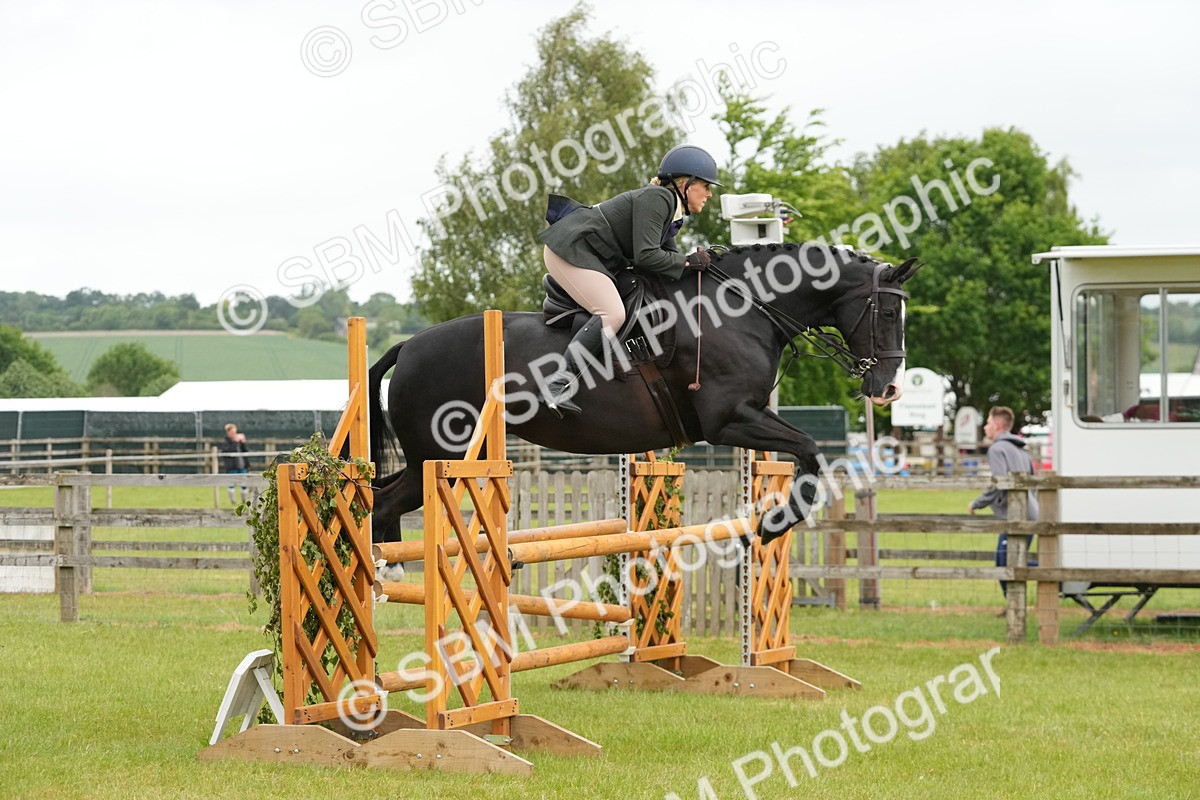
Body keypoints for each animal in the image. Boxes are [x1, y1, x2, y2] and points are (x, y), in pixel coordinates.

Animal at [368, 242, 921, 543]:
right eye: (887, 312)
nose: (889, 388)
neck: (743, 308)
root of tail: (408, 345)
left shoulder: (748, 415)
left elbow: (807, 450)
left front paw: (771, 520)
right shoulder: (729, 419)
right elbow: (809, 449)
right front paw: (774, 523)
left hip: (439, 457)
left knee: (384, 496)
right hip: (441, 456)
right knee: (384, 504)